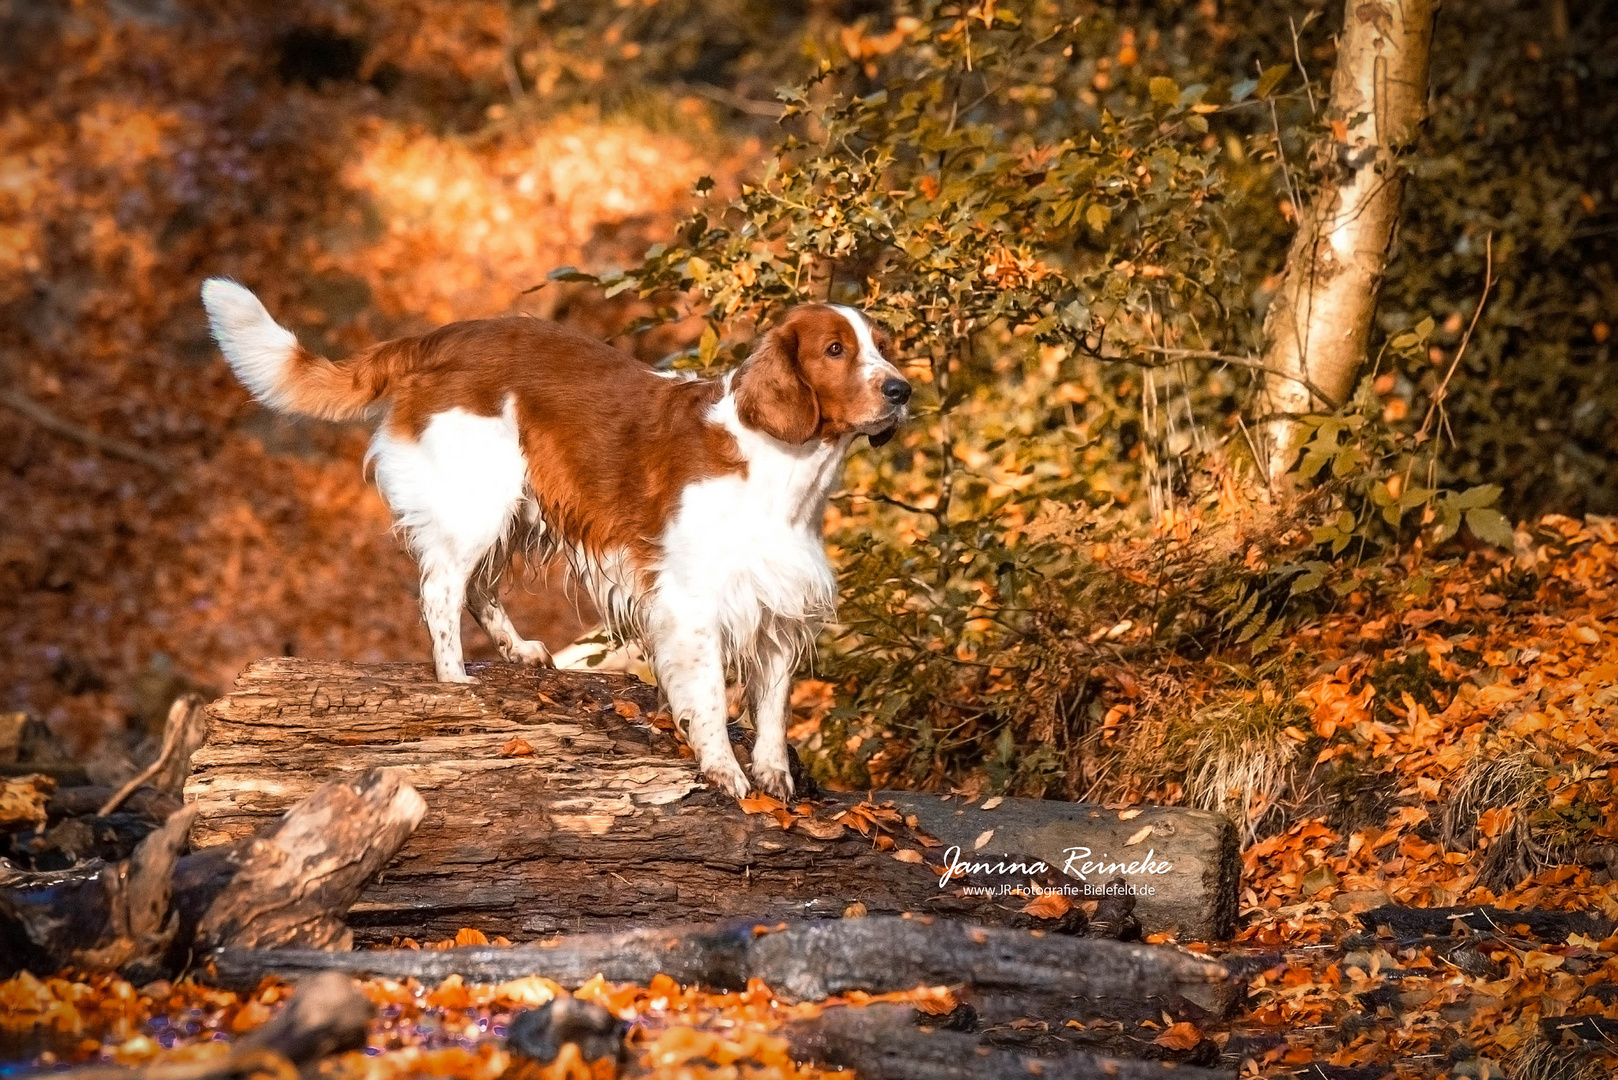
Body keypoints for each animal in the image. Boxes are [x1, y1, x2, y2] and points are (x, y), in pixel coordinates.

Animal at [202, 278, 912, 803]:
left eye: (879, 345)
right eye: (834, 350)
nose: (902, 390)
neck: (780, 465)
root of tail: (440, 337)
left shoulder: (778, 595)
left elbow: (773, 703)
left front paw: (772, 774)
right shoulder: (692, 602)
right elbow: (711, 696)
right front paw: (724, 773)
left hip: (512, 505)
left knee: (476, 586)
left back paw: (517, 650)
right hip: (477, 499)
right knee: (441, 589)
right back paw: (454, 680)